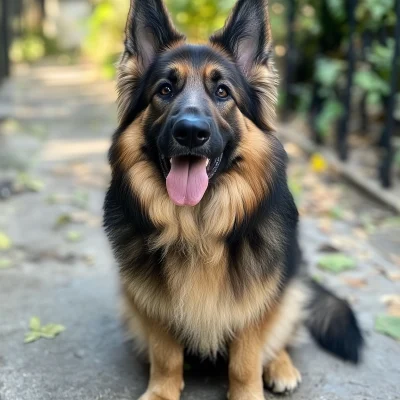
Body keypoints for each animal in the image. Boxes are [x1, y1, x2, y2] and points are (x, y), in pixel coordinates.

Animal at [102, 1, 362, 398]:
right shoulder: (150, 299)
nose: (190, 132)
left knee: (282, 333)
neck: (197, 228)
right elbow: (165, 354)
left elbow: (245, 360)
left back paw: (281, 365)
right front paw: (161, 390)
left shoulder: (255, 300)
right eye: (165, 89)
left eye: (222, 92)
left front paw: (248, 390)